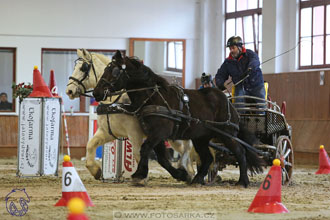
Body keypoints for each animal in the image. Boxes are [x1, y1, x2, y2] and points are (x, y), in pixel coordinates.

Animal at [65, 49, 195, 180]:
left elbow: (137, 153)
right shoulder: (108, 131)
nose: (69, 91)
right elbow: (90, 145)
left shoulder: (134, 133)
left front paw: (141, 176)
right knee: (185, 150)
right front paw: (95, 170)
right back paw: (189, 173)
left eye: (83, 68)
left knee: (187, 149)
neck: (116, 103)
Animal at [93, 50, 262, 186]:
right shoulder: (156, 135)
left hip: (226, 134)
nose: (96, 92)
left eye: (114, 71)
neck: (153, 98)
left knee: (240, 152)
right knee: (208, 158)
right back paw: (197, 179)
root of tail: (228, 102)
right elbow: (161, 158)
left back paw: (243, 181)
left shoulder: (159, 133)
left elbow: (145, 149)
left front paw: (139, 174)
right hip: (201, 138)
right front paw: (181, 175)